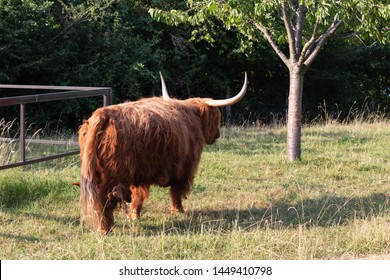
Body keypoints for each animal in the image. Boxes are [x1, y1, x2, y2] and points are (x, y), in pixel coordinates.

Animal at [80, 72, 248, 234]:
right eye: (216, 117)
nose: (217, 135)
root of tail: (103, 114)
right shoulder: (184, 168)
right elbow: (176, 191)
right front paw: (178, 211)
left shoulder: (141, 173)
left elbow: (138, 194)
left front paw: (134, 215)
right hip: (114, 175)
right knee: (106, 198)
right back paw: (105, 228)